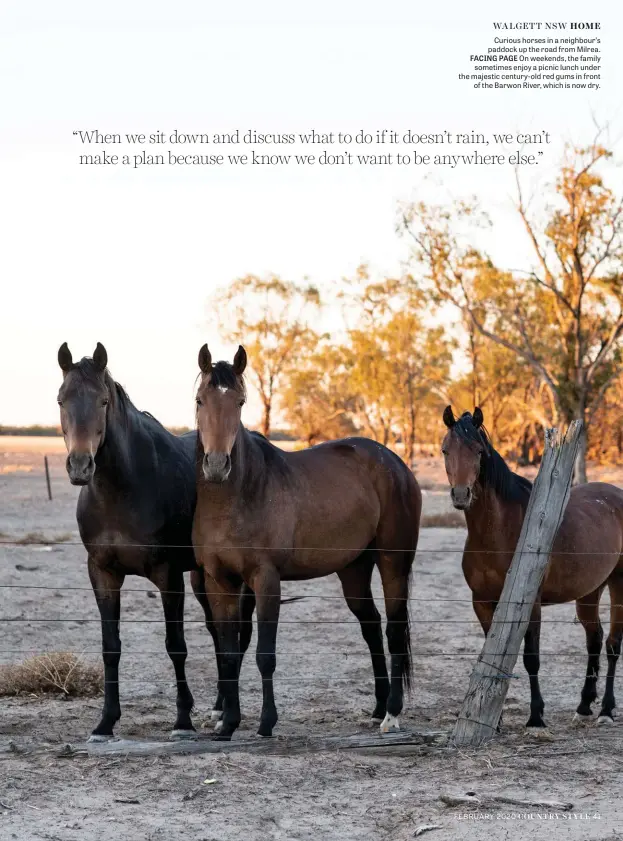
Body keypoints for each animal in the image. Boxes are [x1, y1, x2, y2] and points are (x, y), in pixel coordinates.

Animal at [55, 340, 232, 736]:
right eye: (61, 399)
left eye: (103, 401)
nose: (80, 466)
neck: (122, 488)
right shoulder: (103, 573)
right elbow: (111, 646)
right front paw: (105, 722)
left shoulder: (168, 576)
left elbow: (176, 645)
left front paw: (182, 720)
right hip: (201, 576)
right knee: (217, 629)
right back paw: (218, 705)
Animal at [193, 344, 422, 740]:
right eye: (200, 400)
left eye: (240, 402)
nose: (218, 465)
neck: (235, 498)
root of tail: (396, 464)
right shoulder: (219, 580)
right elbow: (228, 652)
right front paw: (227, 722)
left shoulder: (265, 580)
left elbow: (263, 654)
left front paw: (266, 722)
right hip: (354, 570)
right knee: (371, 626)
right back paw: (378, 708)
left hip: (393, 562)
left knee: (393, 630)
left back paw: (392, 714)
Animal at [442, 404, 623, 724]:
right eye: (445, 450)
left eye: (478, 451)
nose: (461, 494)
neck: (496, 535)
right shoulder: (482, 602)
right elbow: (493, 653)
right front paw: (495, 718)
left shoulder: (530, 604)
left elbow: (531, 659)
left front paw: (536, 715)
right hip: (590, 590)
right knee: (595, 638)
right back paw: (584, 704)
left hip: (619, 581)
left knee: (613, 644)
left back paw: (606, 709)